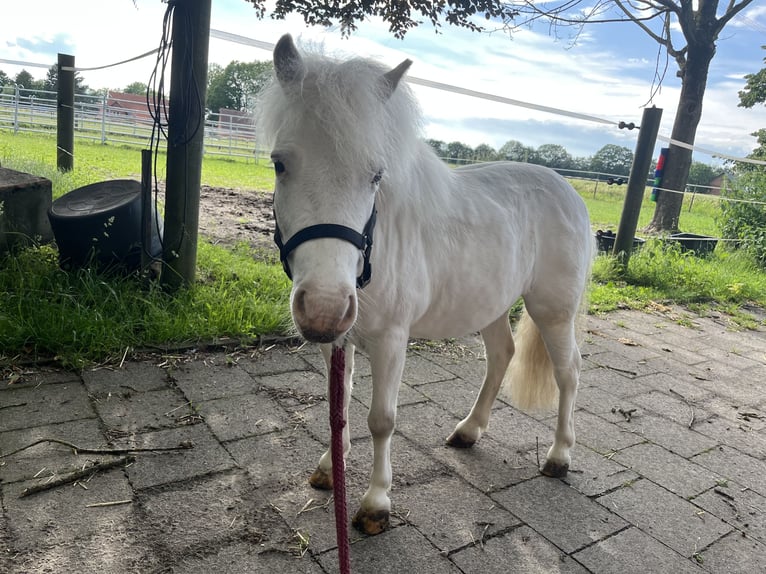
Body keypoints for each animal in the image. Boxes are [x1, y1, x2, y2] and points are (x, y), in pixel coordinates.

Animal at [258, 34, 593, 536]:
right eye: (280, 164)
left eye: (376, 175)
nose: (323, 308)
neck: (375, 247)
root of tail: (567, 188)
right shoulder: (338, 340)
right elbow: (339, 407)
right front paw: (329, 469)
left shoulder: (391, 340)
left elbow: (382, 419)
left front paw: (376, 503)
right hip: (491, 303)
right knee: (502, 355)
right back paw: (469, 431)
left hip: (553, 311)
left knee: (567, 371)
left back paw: (559, 455)